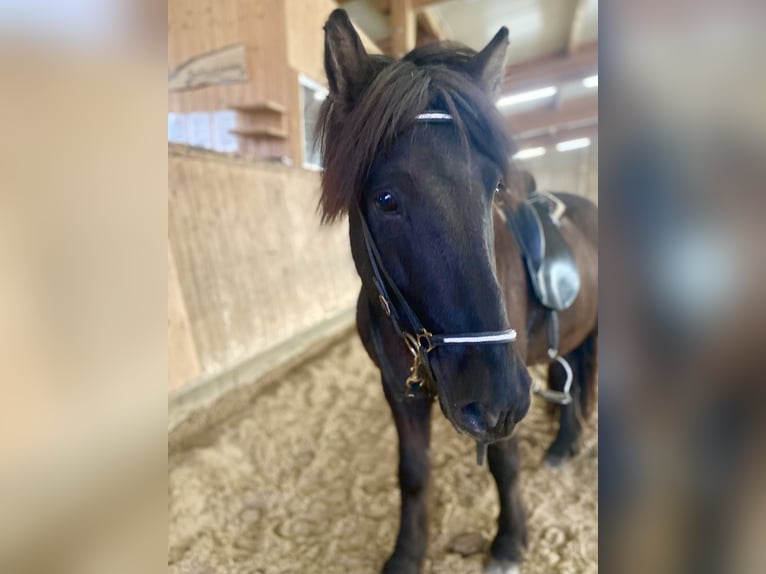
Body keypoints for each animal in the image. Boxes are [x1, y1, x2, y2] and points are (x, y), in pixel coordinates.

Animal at [318, 10, 600, 574]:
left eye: (494, 189)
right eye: (385, 199)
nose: (497, 400)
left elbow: (505, 462)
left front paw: (510, 540)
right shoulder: (397, 389)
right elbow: (412, 472)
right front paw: (407, 553)